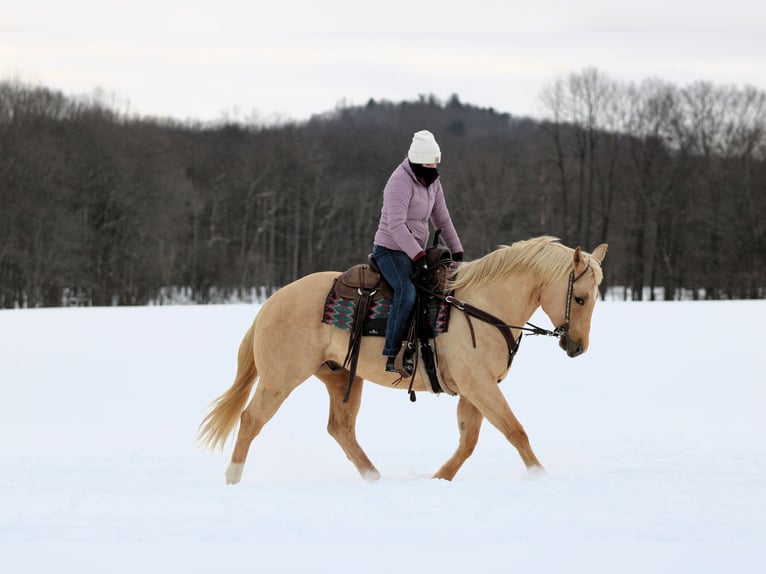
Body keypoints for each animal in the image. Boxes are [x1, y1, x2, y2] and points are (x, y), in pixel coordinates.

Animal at [197, 236, 608, 483]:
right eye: (581, 298)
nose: (577, 346)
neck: (481, 306)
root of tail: (271, 301)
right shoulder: (479, 385)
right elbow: (514, 430)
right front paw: (539, 475)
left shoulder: (474, 389)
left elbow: (469, 440)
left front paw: (439, 478)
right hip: (280, 378)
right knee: (251, 420)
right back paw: (233, 477)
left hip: (340, 378)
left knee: (341, 430)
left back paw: (374, 478)